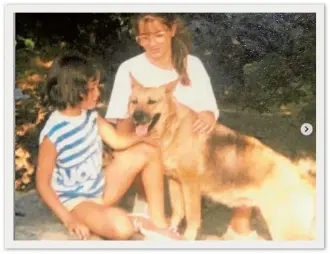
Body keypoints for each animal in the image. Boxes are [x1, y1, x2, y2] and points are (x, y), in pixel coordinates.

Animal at [127, 73, 316, 240]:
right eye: (134, 102)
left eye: (152, 102)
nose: (136, 116)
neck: (173, 128)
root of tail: (301, 175)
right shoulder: (175, 182)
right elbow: (177, 212)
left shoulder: (190, 186)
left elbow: (192, 219)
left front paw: (186, 238)